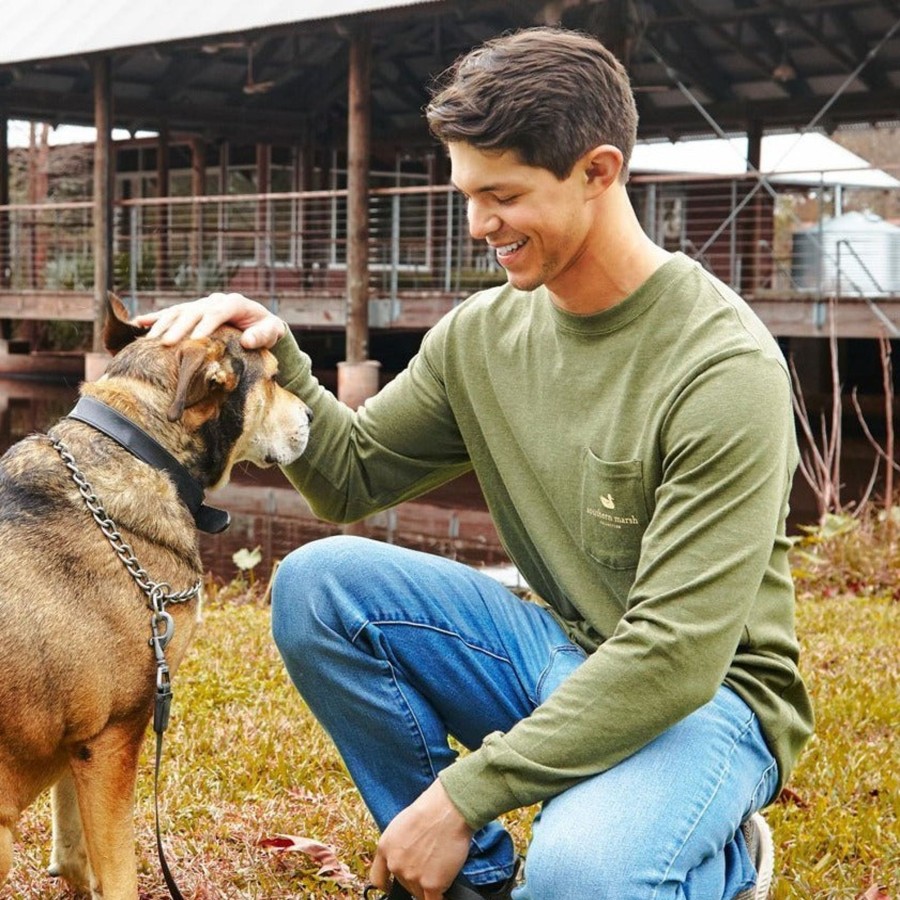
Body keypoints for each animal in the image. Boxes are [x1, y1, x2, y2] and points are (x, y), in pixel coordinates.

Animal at [0, 294, 312, 892]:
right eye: (273, 378)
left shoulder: (81, 744)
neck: (139, 448)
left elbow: (73, 842)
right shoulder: (114, 734)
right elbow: (118, 868)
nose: (311, 416)